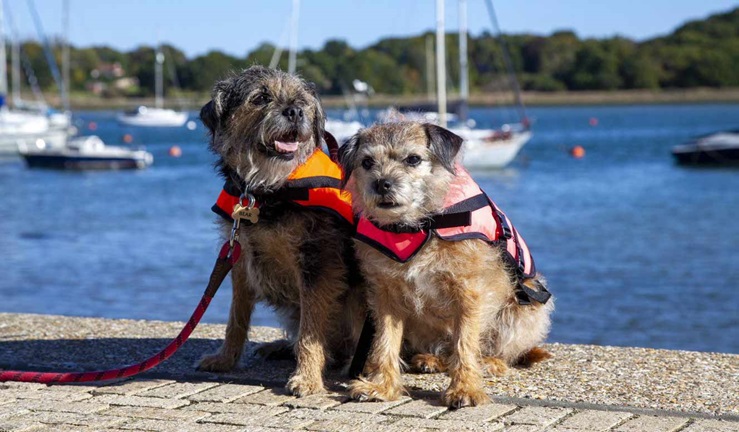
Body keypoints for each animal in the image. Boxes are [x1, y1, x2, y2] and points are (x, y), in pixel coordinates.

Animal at [198, 66, 366, 396]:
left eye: (302, 101)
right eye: (260, 98)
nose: (295, 111)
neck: (267, 190)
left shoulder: (317, 261)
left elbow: (311, 328)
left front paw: (307, 377)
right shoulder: (240, 256)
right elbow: (236, 316)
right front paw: (226, 358)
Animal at [338, 122, 552, 408]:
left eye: (413, 159)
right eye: (367, 162)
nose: (382, 183)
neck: (416, 226)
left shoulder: (469, 292)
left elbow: (466, 343)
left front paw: (465, 388)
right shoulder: (384, 296)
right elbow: (385, 342)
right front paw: (382, 386)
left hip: (525, 306)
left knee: (498, 351)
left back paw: (490, 362)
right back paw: (429, 359)